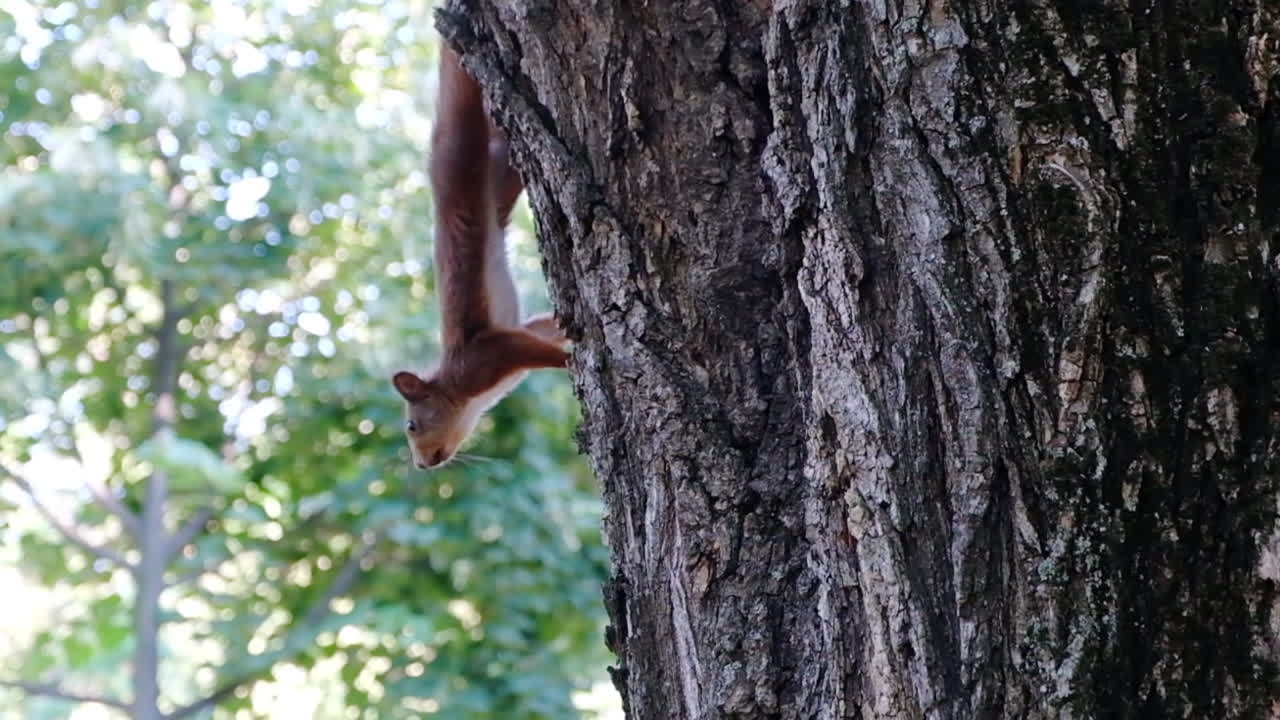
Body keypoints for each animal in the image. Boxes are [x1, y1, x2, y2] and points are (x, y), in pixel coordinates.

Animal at [392, 47, 569, 470]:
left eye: (411, 426)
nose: (421, 465)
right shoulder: (516, 334)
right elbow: (541, 328)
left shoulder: (485, 357)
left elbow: (538, 352)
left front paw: (569, 361)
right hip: (500, 177)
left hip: (465, 155)